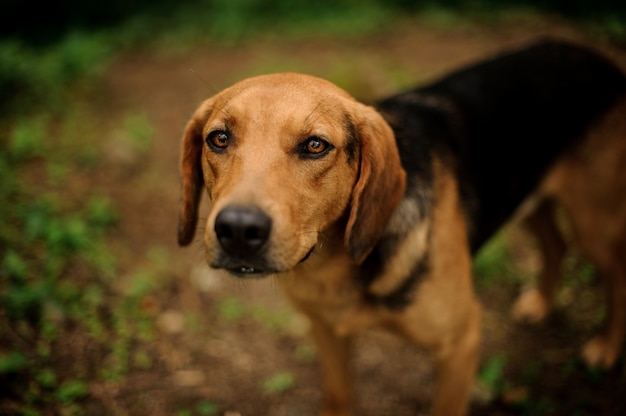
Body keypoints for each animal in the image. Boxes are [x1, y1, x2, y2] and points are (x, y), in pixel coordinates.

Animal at [176, 37, 624, 414]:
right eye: (218, 138)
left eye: (315, 145)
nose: (237, 229)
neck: (332, 268)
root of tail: (595, 56)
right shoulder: (328, 332)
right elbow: (338, 396)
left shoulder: (460, 344)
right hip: (529, 196)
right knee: (555, 243)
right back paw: (541, 303)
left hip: (593, 223)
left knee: (612, 271)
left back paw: (604, 348)